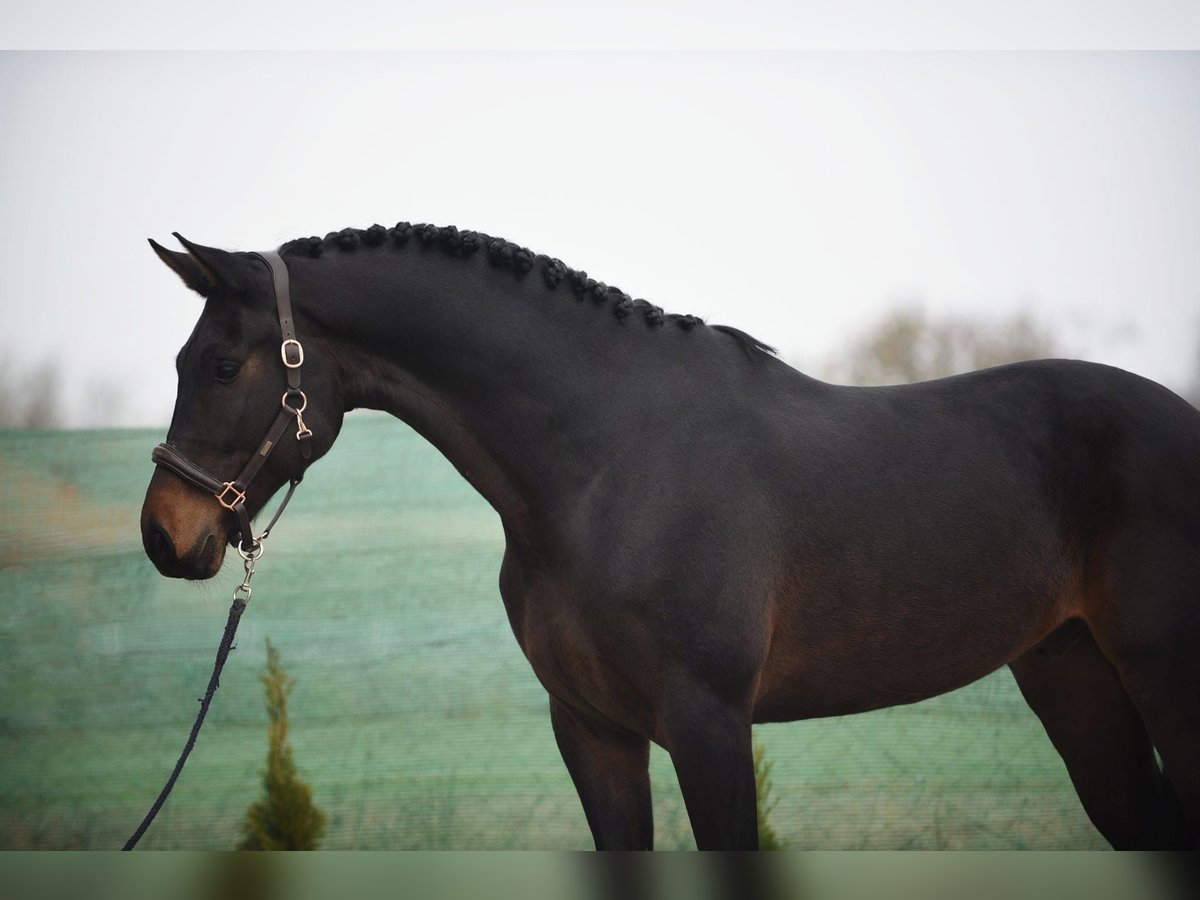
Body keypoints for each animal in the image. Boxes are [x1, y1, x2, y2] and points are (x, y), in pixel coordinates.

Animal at [142, 225, 1200, 854]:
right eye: (181, 359)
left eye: (224, 364)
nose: (164, 535)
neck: (609, 465)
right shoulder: (593, 732)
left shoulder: (708, 722)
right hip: (1074, 679)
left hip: (1163, 680)